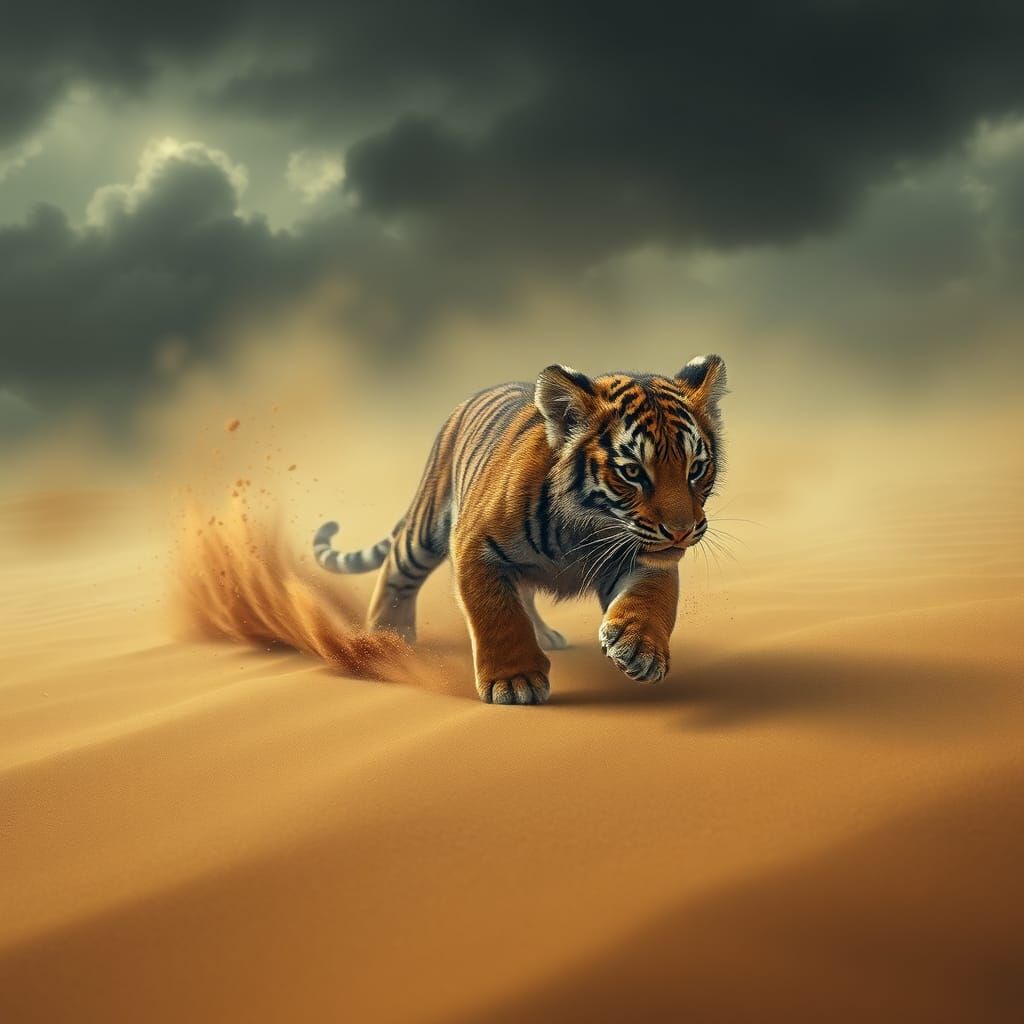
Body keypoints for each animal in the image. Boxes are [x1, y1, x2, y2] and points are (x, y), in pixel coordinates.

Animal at [313, 354, 727, 705]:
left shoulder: (643, 554)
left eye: (695, 468)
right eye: (632, 472)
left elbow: (654, 594)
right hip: (425, 527)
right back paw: (384, 641)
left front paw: (641, 648)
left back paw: (545, 635)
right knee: (397, 570)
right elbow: (497, 614)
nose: (680, 531)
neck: (588, 528)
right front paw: (513, 681)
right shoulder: (475, 546)